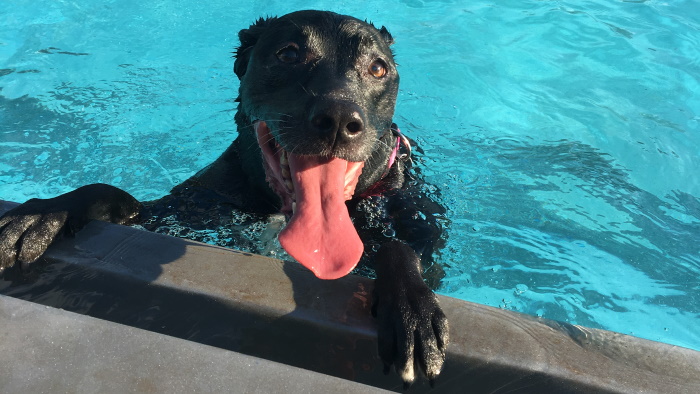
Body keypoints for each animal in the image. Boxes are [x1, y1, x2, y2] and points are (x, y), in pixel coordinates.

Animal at [0, 10, 448, 386]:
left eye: (378, 68)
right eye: (288, 53)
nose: (339, 119)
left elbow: (398, 247)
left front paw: (411, 308)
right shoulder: (182, 215)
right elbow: (111, 193)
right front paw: (45, 213)